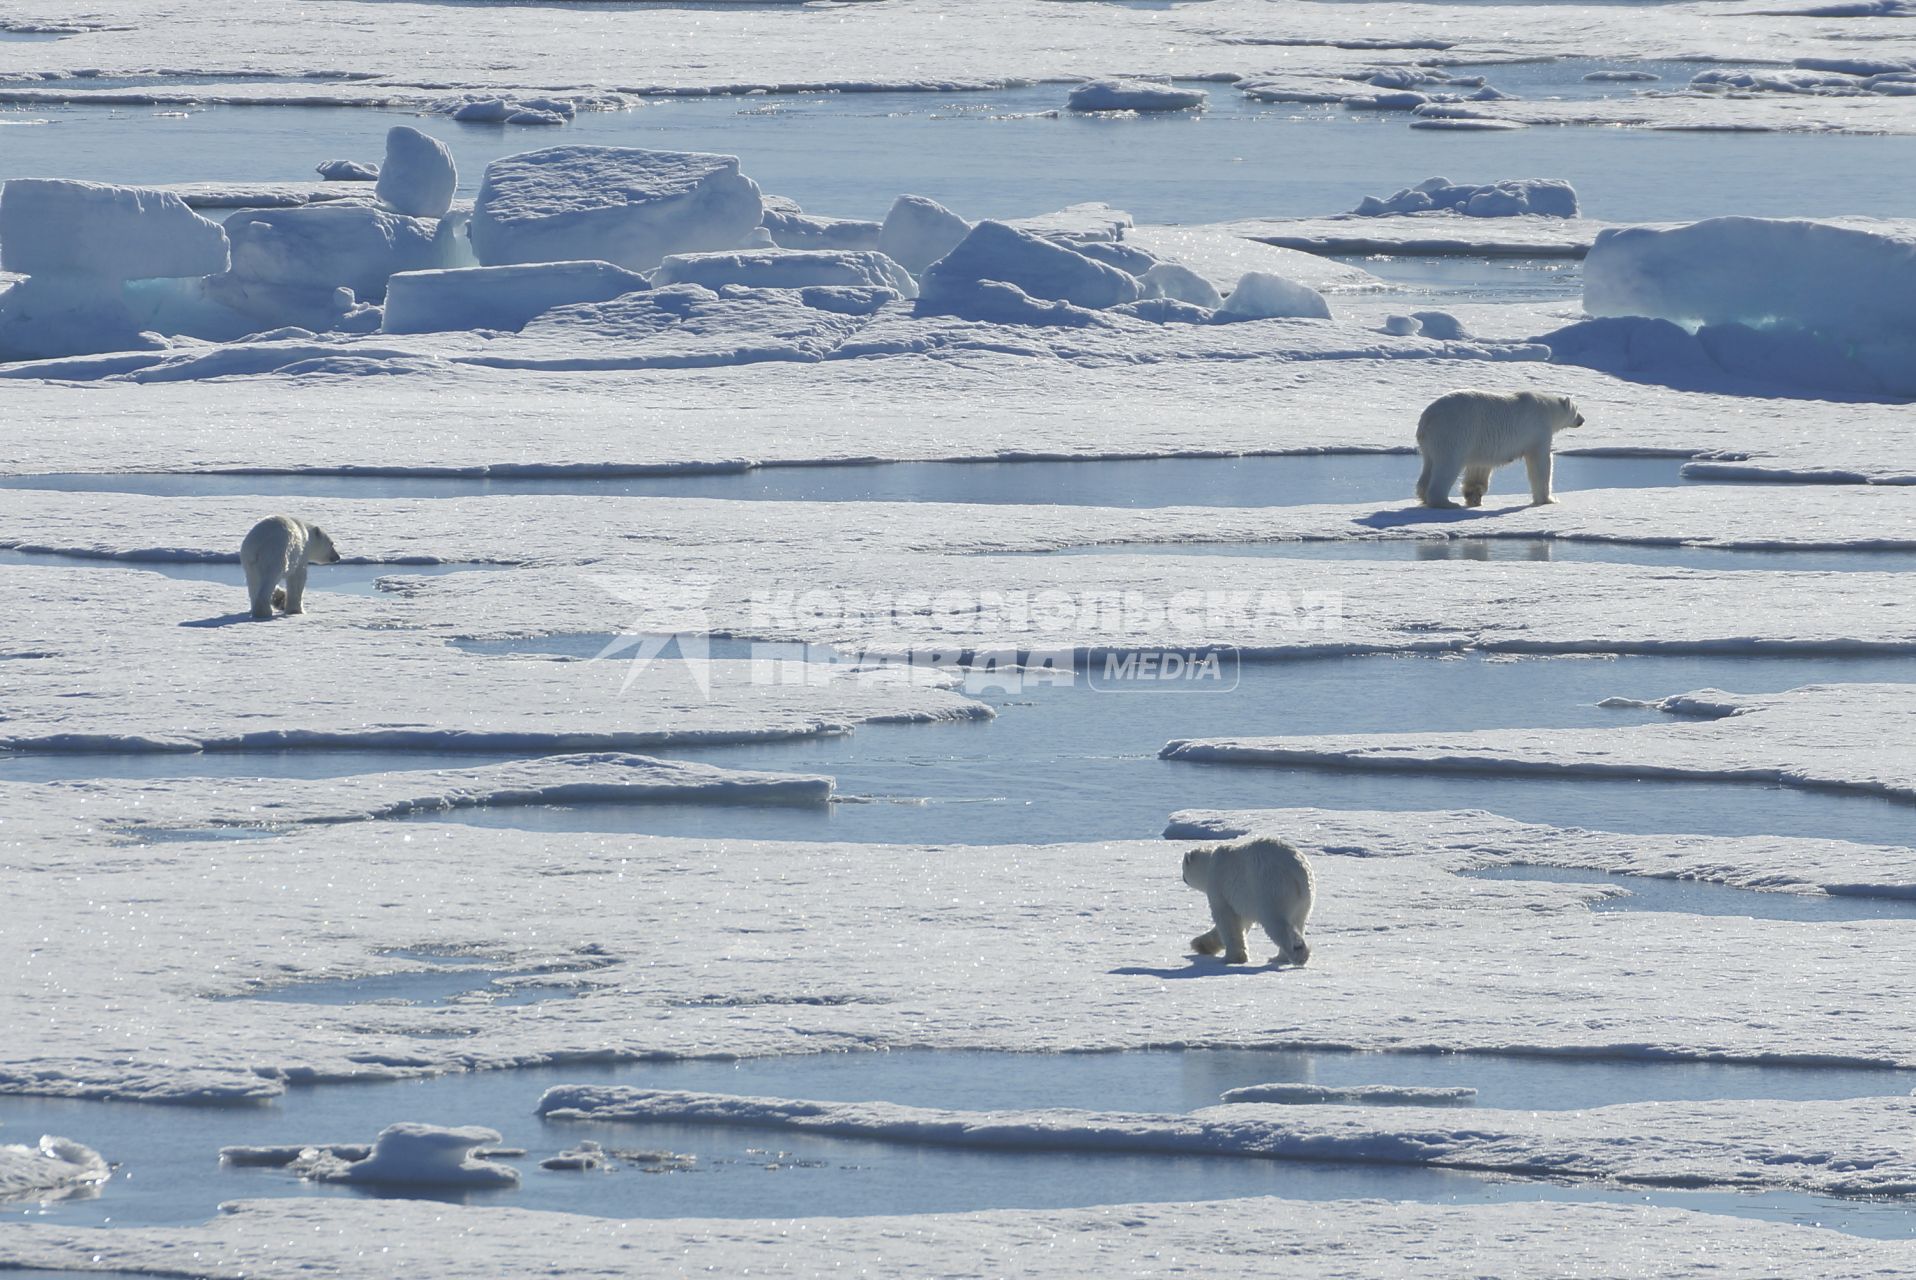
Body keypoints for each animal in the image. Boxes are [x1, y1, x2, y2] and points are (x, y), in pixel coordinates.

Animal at [1180, 835, 1318, 965]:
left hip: (1271, 888)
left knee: (1276, 923)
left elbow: (1225, 918)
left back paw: (1297, 954)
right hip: (1304, 899)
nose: (1182, 878)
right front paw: (1200, 945)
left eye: (1183, 868)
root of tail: (1298, 871)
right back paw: (1279, 958)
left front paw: (1233, 958)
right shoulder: (1245, 896)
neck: (1210, 862)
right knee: (1298, 920)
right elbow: (1242, 920)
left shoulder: (1219, 883)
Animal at [1417, 390, 1578, 509]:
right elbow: (1540, 463)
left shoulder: (1480, 444)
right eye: (1577, 410)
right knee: (1447, 465)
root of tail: (1427, 418)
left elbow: (1479, 468)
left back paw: (1424, 496)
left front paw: (1474, 496)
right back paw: (1446, 502)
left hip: (1431, 443)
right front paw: (1548, 499)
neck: (1548, 409)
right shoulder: (1538, 430)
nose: (1581, 420)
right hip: (1452, 432)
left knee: (1429, 466)